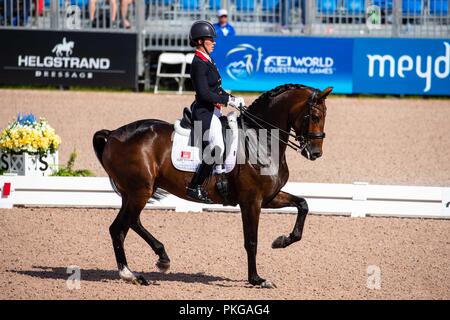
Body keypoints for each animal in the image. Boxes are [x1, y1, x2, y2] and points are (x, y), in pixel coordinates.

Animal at [92, 83, 330, 288]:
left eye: (325, 116)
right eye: (315, 116)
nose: (315, 153)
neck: (260, 141)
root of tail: (113, 134)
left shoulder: (269, 197)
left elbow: (303, 204)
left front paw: (281, 241)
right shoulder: (251, 200)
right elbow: (251, 241)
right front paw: (257, 279)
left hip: (132, 193)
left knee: (122, 227)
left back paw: (139, 270)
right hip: (140, 191)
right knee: (127, 224)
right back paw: (152, 264)